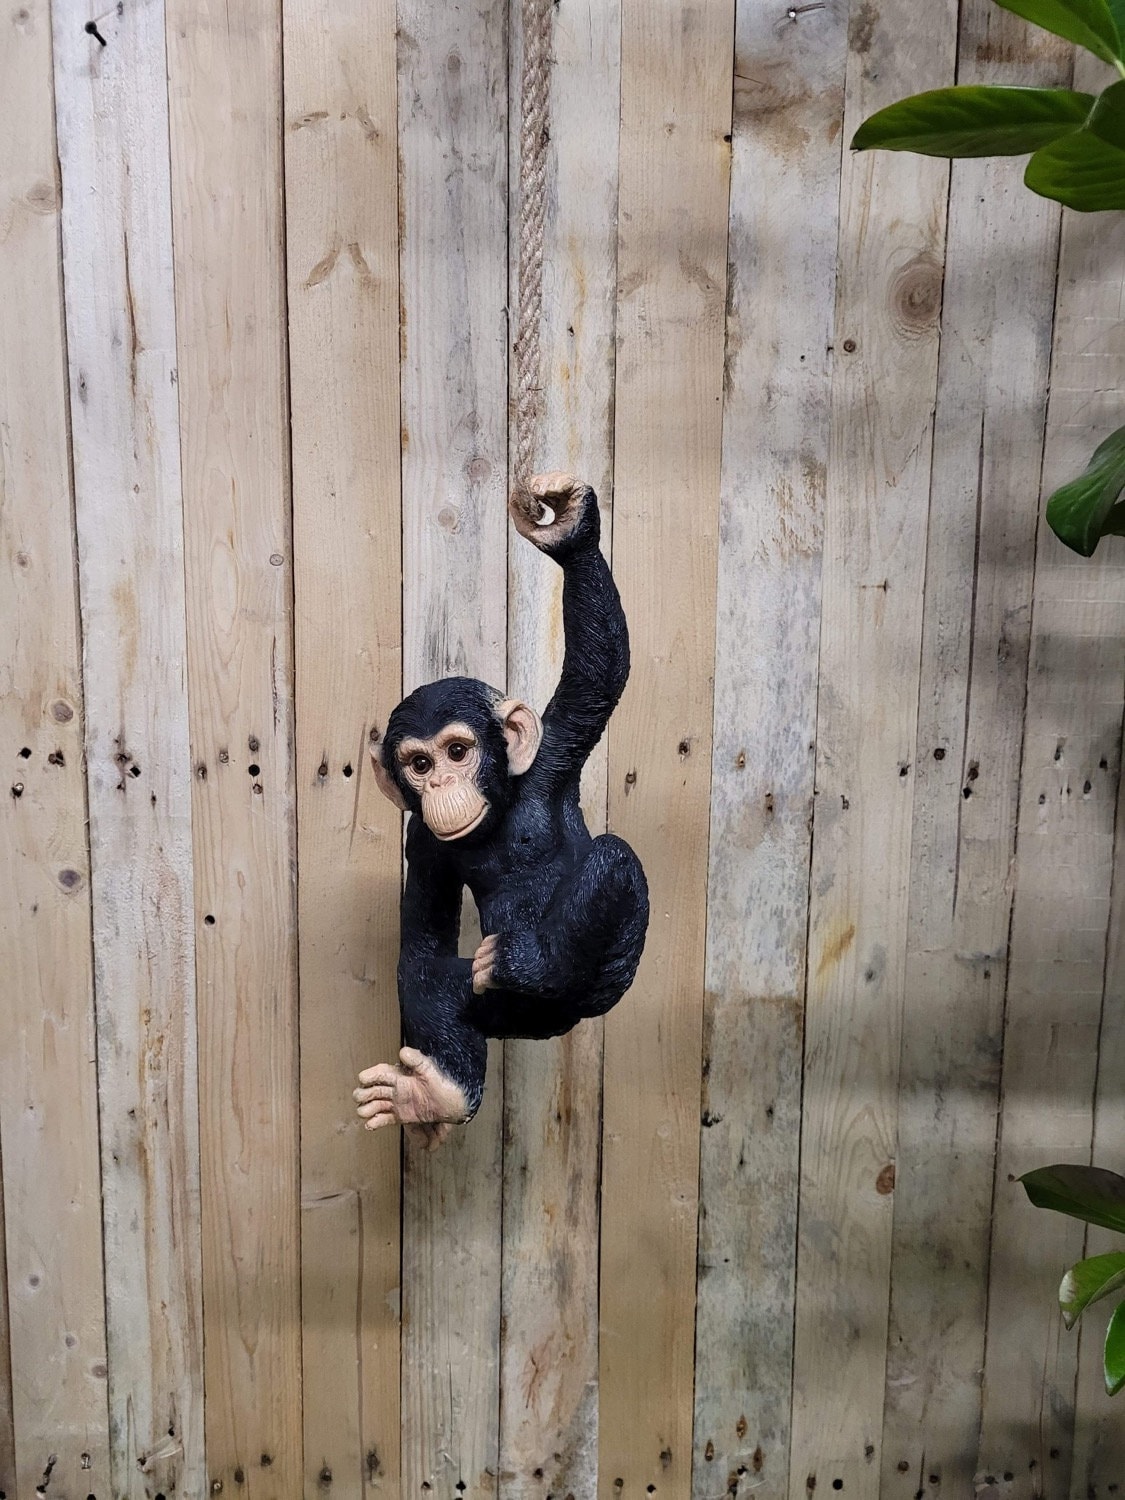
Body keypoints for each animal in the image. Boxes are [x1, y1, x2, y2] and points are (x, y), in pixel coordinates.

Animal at [354, 472, 649, 1150]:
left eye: (458, 751)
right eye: (419, 764)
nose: (442, 785)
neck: (498, 812)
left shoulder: (550, 759)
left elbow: (598, 676)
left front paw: (567, 532)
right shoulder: (422, 843)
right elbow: (425, 944)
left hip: (604, 985)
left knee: (615, 860)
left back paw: (524, 961)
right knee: (440, 980)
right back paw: (431, 1094)